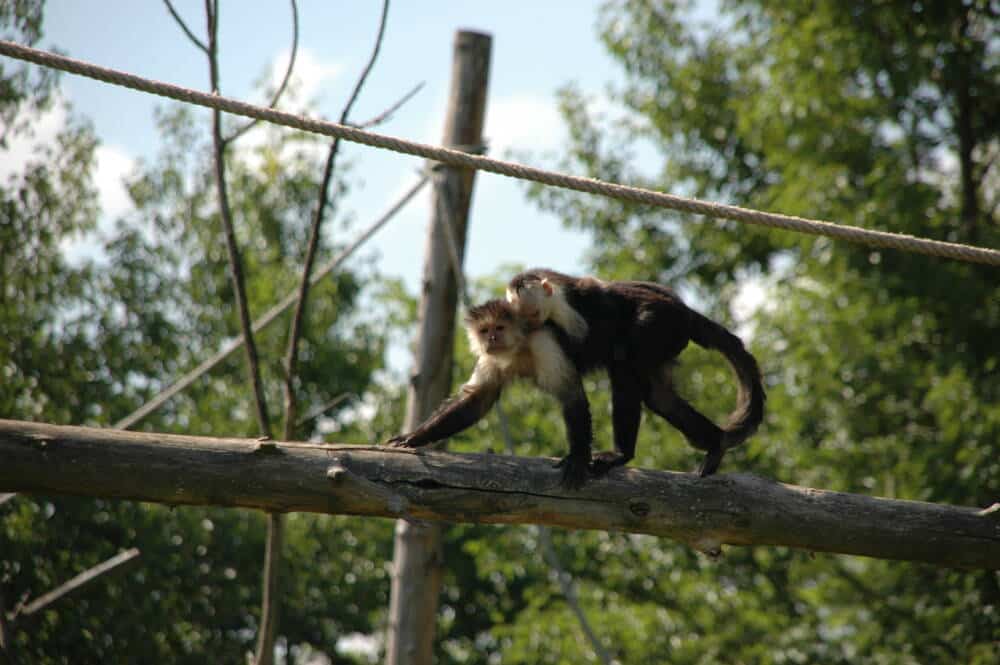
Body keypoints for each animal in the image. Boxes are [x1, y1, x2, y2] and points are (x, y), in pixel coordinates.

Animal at [386, 298, 596, 490]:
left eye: (500, 328)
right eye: (485, 330)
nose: (492, 339)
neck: (519, 347)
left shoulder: (544, 343)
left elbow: (571, 395)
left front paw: (578, 458)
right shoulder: (489, 358)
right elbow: (476, 400)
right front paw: (414, 436)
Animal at [508, 268, 764, 474]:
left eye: (531, 314)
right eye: (521, 316)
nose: (529, 325)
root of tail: (686, 313)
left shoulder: (565, 312)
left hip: (662, 324)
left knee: (625, 368)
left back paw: (621, 454)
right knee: (659, 397)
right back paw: (716, 444)